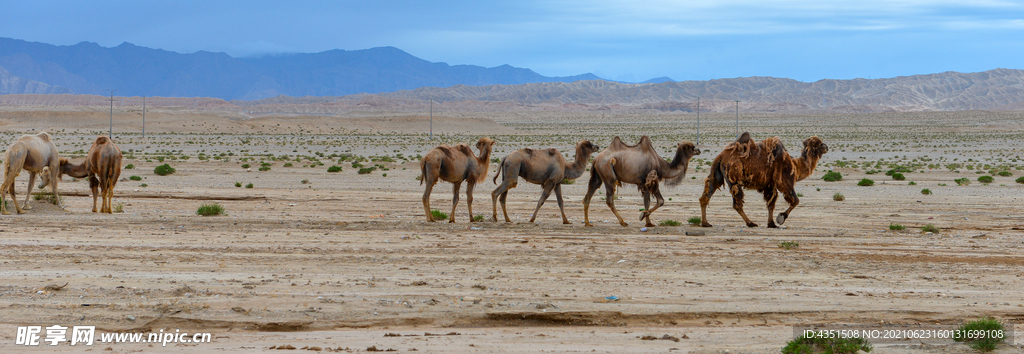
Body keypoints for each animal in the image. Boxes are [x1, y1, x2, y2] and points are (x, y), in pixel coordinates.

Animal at [696, 130, 831, 228]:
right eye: (819, 143)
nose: (827, 147)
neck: (795, 165)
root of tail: (719, 157)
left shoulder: (770, 186)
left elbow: (771, 204)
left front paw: (771, 224)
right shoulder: (785, 182)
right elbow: (795, 201)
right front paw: (780, 218)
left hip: (717, 175)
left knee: (706, 196)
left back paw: (705, 223)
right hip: (734, 177)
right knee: (737, 203)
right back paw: (751, 223)